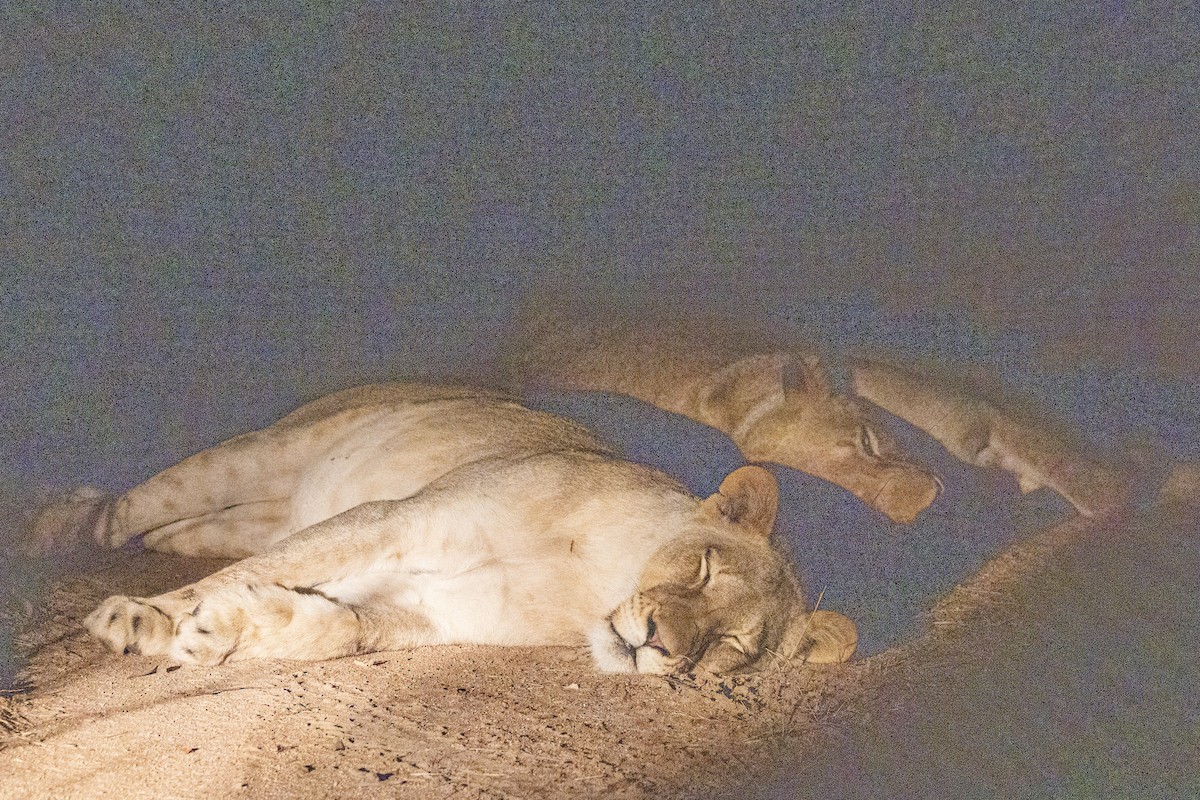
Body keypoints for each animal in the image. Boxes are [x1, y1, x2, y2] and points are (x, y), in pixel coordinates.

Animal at [34, 384, 856, 674]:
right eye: (706, 568)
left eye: (730, 648)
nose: (658, 645)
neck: (590, 584)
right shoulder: (398, 517)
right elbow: (263, 572)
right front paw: (144, 620)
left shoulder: (431, 612)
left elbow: (338, 629)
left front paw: (230, 628)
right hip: (257, 455)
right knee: (122, 515)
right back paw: (55, 527)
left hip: (258, 509)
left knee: (207, 535)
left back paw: (159, 547)